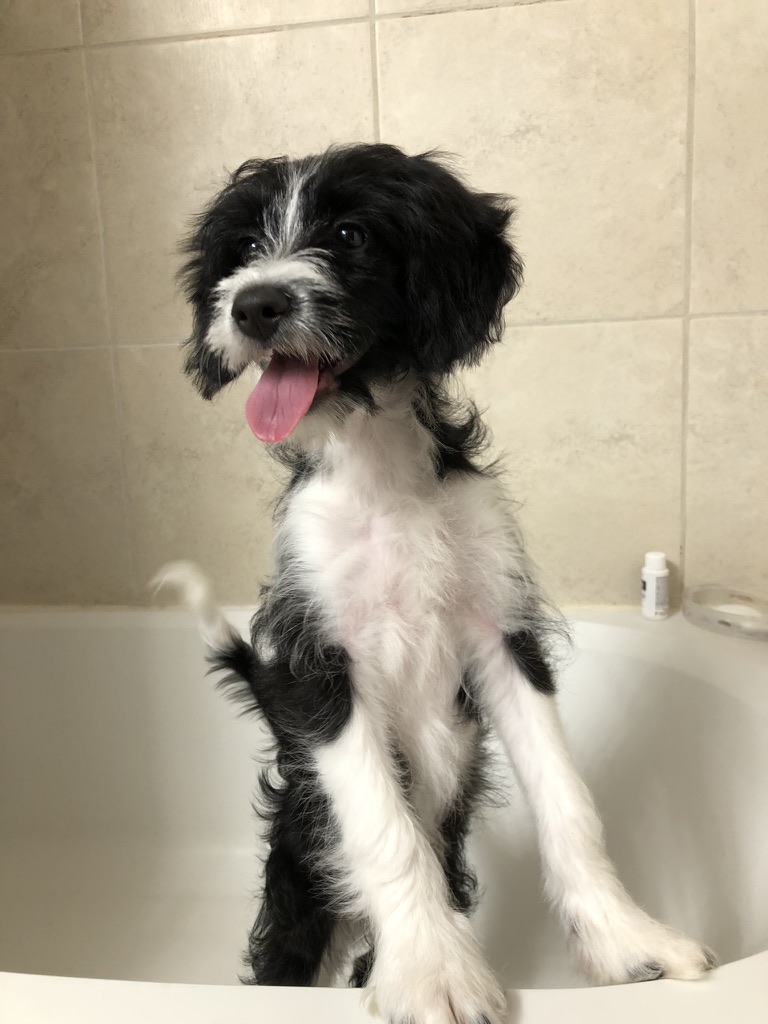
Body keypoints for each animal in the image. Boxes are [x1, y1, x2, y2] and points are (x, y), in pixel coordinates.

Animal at [159, 144, 720, 1024]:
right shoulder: (319, 667)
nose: (253, 305)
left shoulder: (503, 633)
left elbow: (569, 803)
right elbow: (386, 826)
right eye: (243, 248)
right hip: (299, 877)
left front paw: (626, 939)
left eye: (349, 234)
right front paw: (433, 971)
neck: (382, 474)